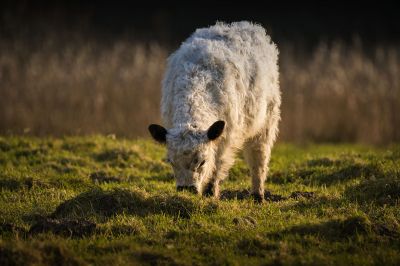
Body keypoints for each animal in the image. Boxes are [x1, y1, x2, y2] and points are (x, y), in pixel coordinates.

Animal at [149, 21, 282, 203]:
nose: (186, 190)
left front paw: (210, 193)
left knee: (259, 159)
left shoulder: (227, 137)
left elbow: (217, 164)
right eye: (171, 162)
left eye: (202, 162)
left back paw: (257, 196)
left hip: (266, 123)